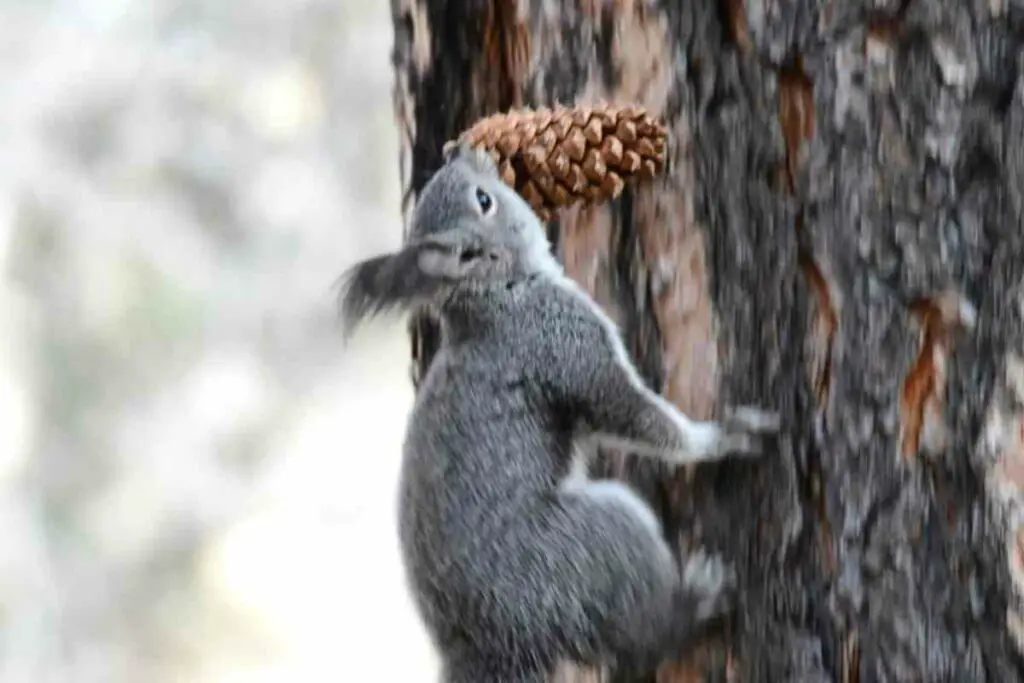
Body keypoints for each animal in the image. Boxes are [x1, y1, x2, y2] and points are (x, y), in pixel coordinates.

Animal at [339, 145, 778, 683]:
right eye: (483, 201)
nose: (465, 149)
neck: (499, 297)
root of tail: (494, 646)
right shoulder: (564, 343)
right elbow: (631, 412)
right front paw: (719, 438)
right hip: (592, 548)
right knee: (641, 642)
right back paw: (697, 603)